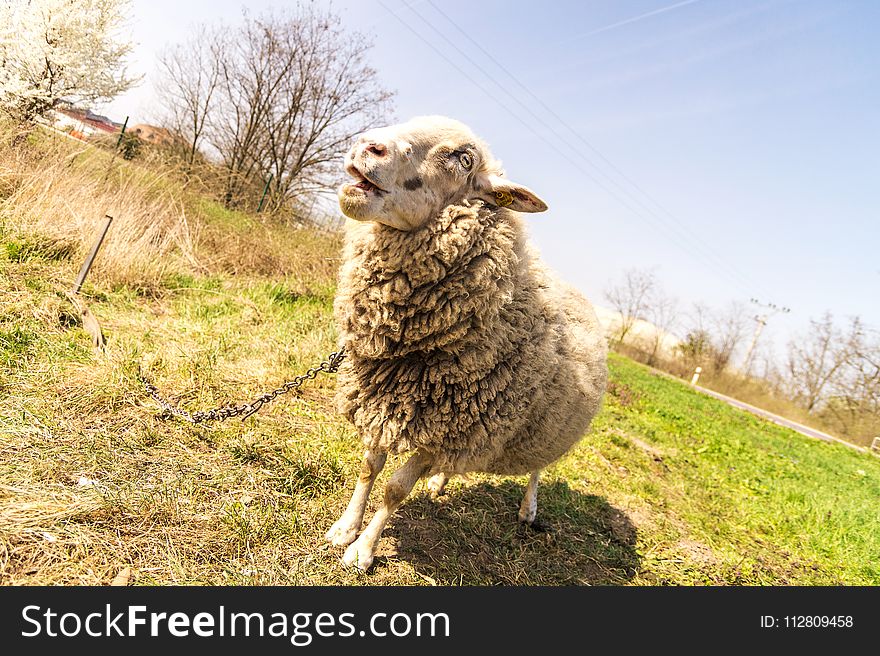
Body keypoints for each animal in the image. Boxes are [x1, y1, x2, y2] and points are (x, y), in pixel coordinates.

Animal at [326, 115, 608, 572]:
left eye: (463, 159)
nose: (369, 146)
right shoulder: (384, 400)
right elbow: (369, 467)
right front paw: (345, 528)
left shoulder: (449, 428)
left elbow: (395, 489)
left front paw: (363, 551)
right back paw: (440, 482)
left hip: (544, 428)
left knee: (537, 469)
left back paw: (528, 509)